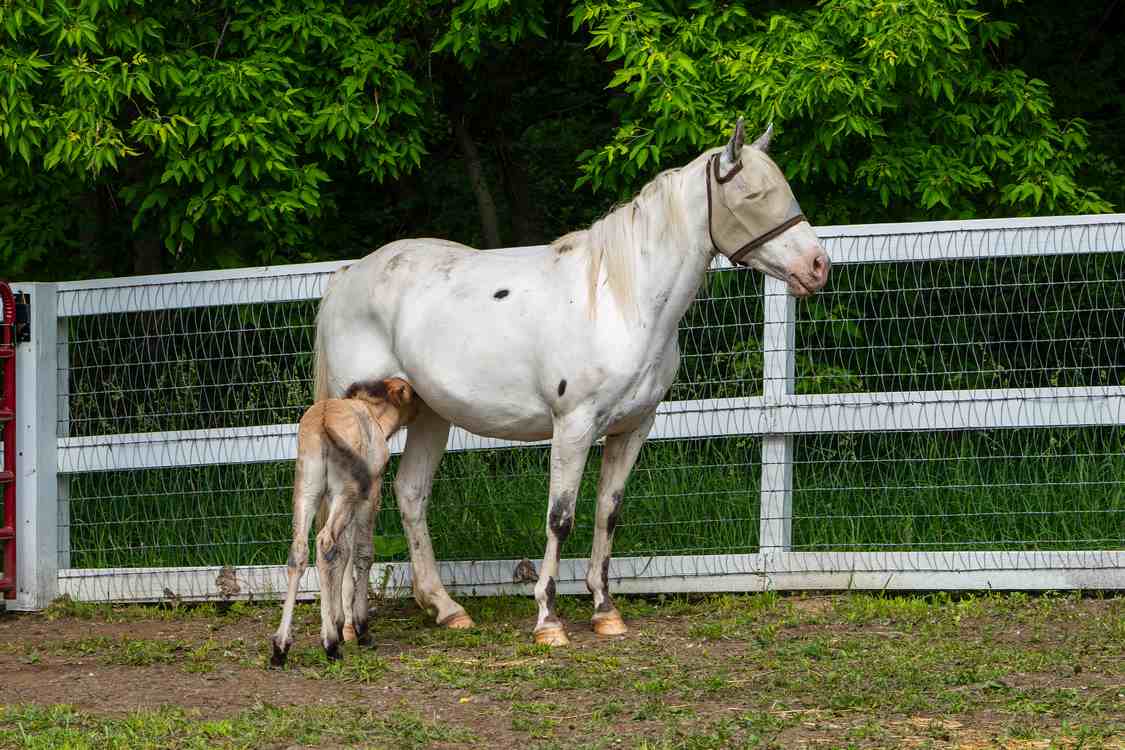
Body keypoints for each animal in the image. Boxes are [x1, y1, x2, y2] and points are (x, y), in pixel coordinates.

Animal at [270, 377, 420, 666]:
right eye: (411, 393)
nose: (422, 408)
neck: (376, 416)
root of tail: (323, 422)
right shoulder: (370, 492)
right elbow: (362, 552)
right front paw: (360, 629)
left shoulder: (336, 498)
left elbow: (344, 552)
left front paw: (340, 622)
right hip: (346, 491)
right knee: (324, 543)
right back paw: (329, 644)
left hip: (308, 489)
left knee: (301, 549)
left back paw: (280, 647)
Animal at [311, 119, 830, 645]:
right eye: (753, 195)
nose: (818, 267)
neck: (621, 300)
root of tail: (347, 276)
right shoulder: (573, 426)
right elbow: (560, 518)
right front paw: (548, 620)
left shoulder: (634, 427)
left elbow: (608, 511)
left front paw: (605, 611)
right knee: (349, 512)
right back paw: (349, 627)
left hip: (431, 414)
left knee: (411, 494)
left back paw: (445, 607)